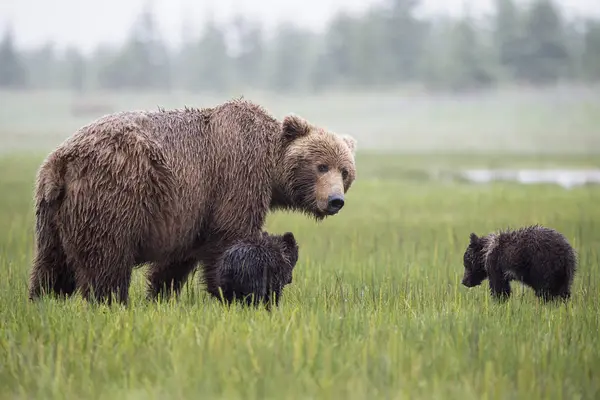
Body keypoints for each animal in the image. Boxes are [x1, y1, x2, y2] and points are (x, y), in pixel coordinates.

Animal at [28, 98, 356, 304]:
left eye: (345, 171)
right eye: (321, 166)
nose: (335, 200)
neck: (270, 167)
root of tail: (60, 161)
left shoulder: (189, 212)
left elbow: (177, 260)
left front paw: (160, 295)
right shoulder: (235, 176)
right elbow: (229, 237)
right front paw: (233, 293)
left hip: (55, 213)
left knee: (52, 265)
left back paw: (43, 300)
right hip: (113, 195)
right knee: (105, 260)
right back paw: (110, 302)